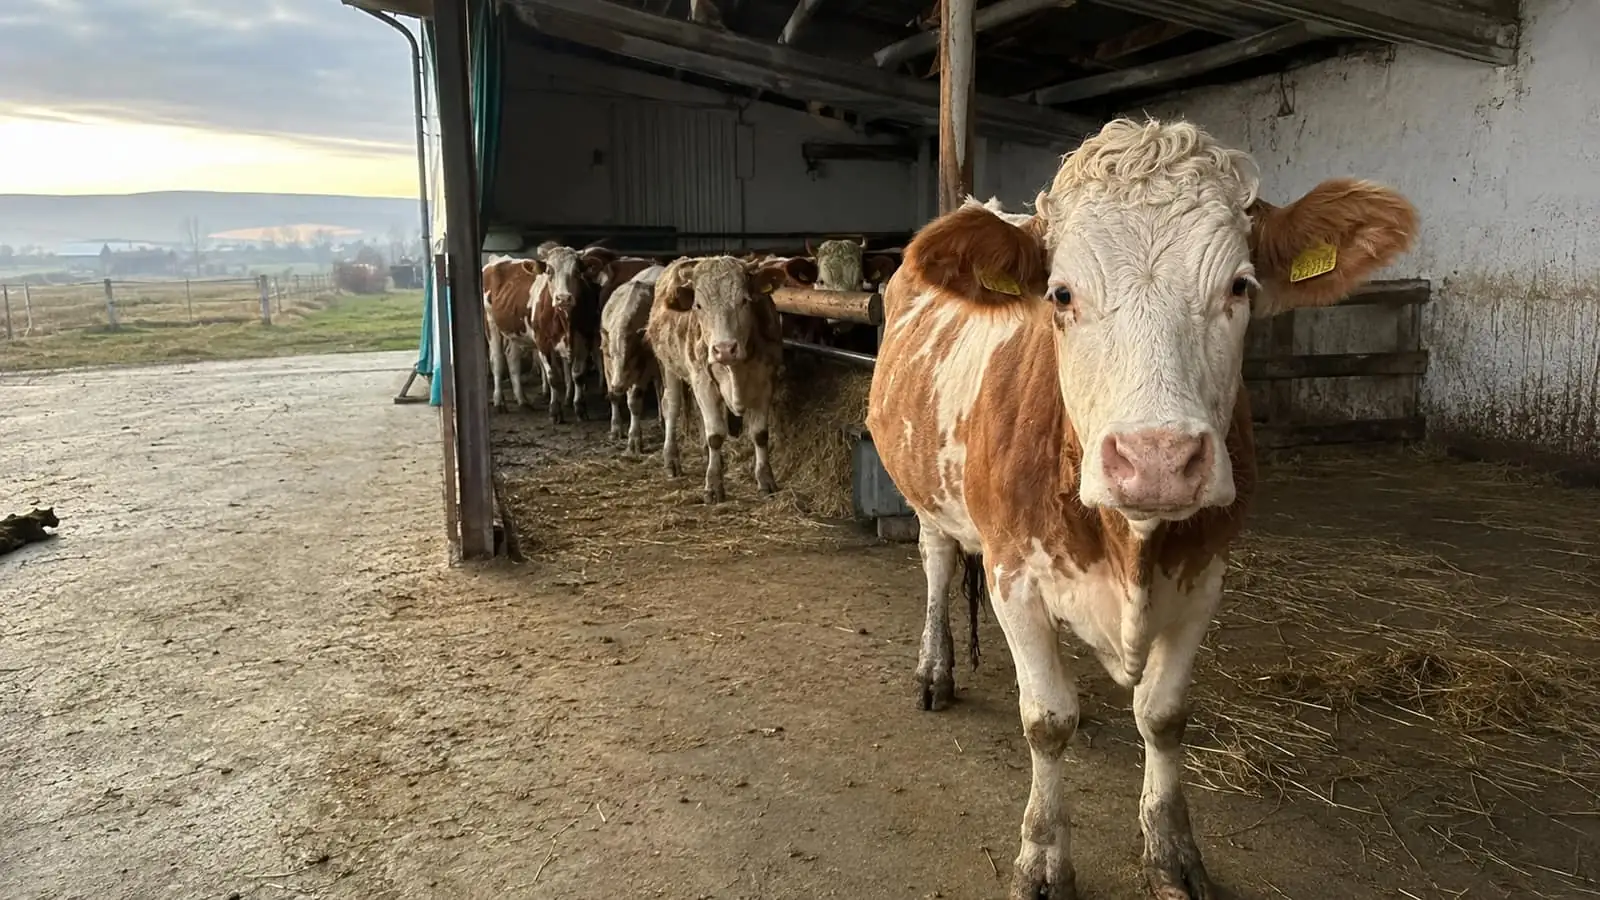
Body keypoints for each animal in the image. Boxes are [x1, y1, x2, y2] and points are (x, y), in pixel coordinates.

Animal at [481, 254, 544, 411]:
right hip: (491, 323)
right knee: (497, 360)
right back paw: (499, 401)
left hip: (512, 328)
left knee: (512, 358)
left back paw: (522, 399)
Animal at [599, 264, 666, 454]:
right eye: (611, 355)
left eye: (631, 356)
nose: (618, 385)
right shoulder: (606, 364)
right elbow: (613, 396)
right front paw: (615, 429)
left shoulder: (644, 368)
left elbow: (634, 401)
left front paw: (634, 439)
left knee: (660, 388)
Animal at [646, 255, 790, 504]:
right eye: (698, 306)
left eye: (744, 300)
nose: (724, 349)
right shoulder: (703, 382)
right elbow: (715, 435)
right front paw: (713, 485)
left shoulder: (765, 382)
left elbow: (760, 434)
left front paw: (766, 480)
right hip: (669, 367)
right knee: (671, 407)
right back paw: (672, 459)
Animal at [866, 118, 1417, 900]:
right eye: (1061, 294)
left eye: (1240, 286)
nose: (1156, 457)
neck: (1131, 544)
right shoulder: (1013, 576)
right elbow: (1046, 720)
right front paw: (1043, 858)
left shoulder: (1204, 577)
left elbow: (1163, 716)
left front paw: (1172, 851)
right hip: (929, 496)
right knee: (938, 566)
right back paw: (934, 670)